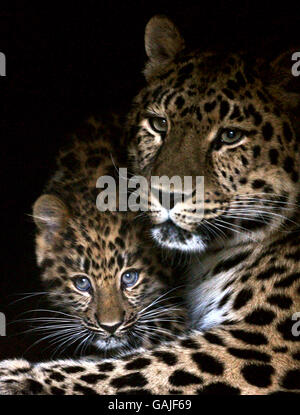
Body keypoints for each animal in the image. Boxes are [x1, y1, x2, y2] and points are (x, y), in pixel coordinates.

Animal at [0, 15, 300, 394]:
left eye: (231, 136)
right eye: (159, 124)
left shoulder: (262, 340)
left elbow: (139, 367)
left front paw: (14, 376)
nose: (166, 194)